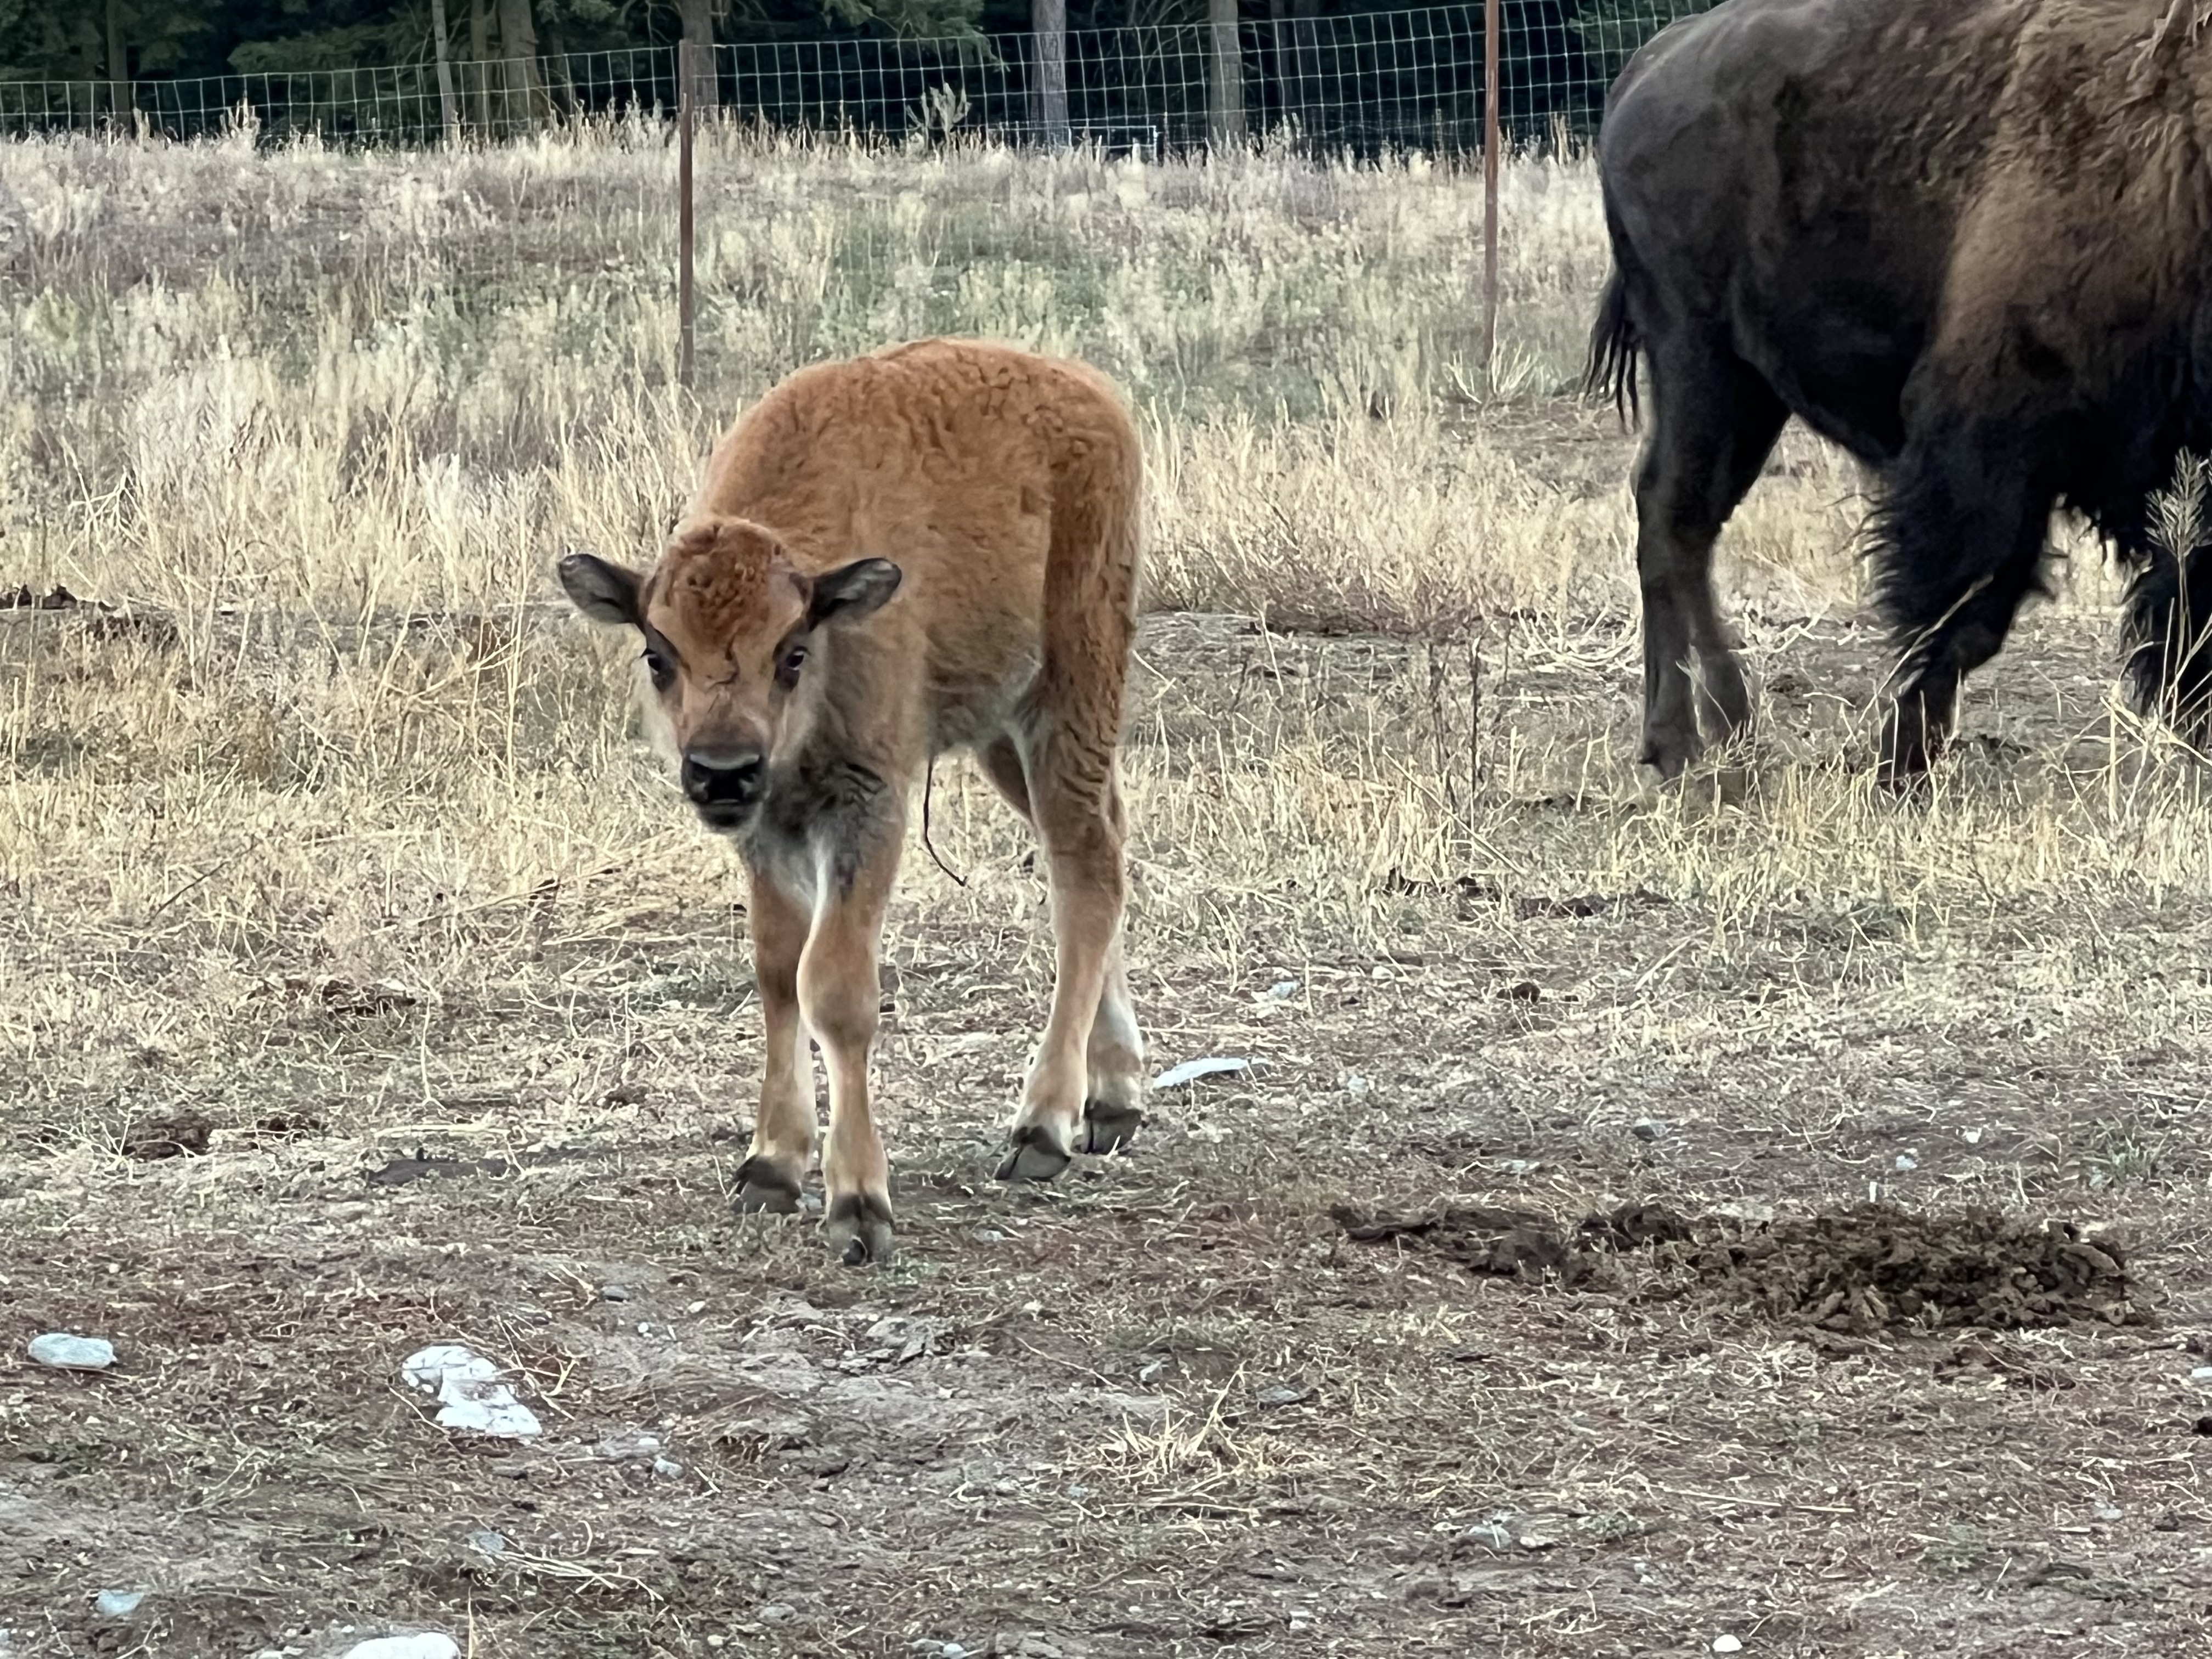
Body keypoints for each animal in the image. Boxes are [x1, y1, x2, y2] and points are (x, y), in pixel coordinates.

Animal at [1587, 0, 2212, 783]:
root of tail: (1649, 64)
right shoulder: (1989, 439)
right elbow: (1960, 612)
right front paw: (1902, 762)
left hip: (1747, 391)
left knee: (1685, 523)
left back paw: (1725, 728)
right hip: (1697, 357)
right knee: (1674, 519)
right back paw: (1683, 744)